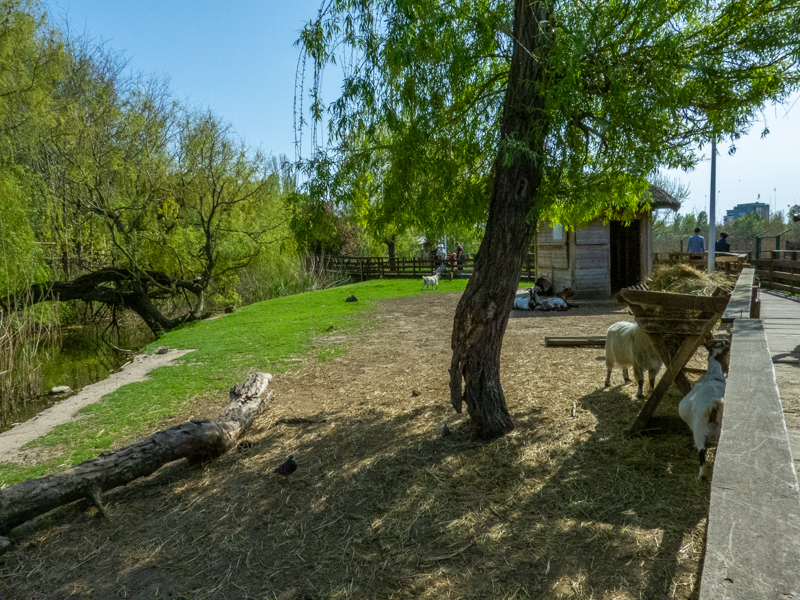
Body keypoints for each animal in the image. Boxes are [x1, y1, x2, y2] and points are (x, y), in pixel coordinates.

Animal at [678, 339, 730, 479]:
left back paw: (701, 476)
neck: (713, 373)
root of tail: (716, 402)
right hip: (719, 428)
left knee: (702, 450)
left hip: (699, 426)